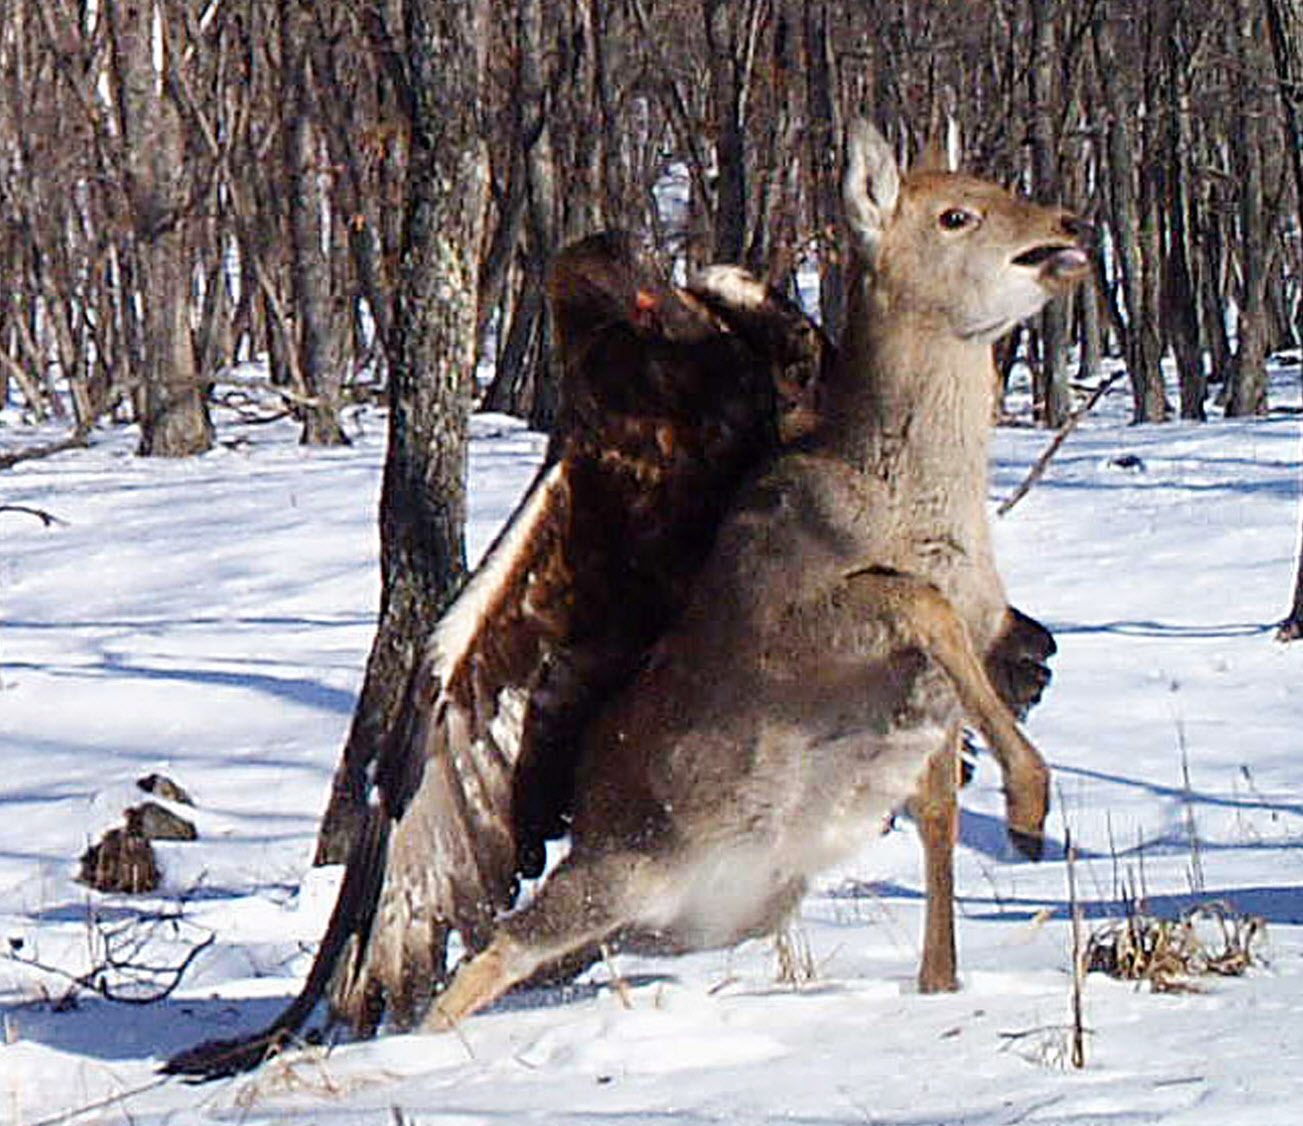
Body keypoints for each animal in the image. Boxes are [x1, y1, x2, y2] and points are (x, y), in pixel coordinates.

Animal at [416, 118, 1089, 1026]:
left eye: (995, 185)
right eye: (955, 214)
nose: (1068, 226)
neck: (921, 513)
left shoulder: (958, 671)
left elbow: (940, 816)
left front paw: (942, 977)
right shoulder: (791, 624)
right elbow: (913, 600)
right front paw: (1027, 807)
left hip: (698, 911)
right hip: (618, 867)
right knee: (495, 948)